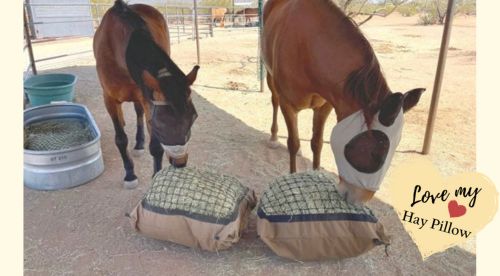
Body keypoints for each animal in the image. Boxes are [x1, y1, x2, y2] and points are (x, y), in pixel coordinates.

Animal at [93, 0, 198, 189]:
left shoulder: (147, 98)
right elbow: (120, 139)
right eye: (158, 123)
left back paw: (139, 142)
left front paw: (156, 176)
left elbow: (155, 146)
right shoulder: (109, 99)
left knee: (138, 112)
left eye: (193, 118)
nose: (180, 162)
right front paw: (129, 174)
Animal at [262, 0, 426, 203]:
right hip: (270, 77)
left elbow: (317, 143)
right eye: (375, 154)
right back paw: (274, 137)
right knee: (274, 101)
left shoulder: (325, 106)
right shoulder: (288, 105)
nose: (359, 200)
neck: (307, 48)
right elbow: (293, 143)